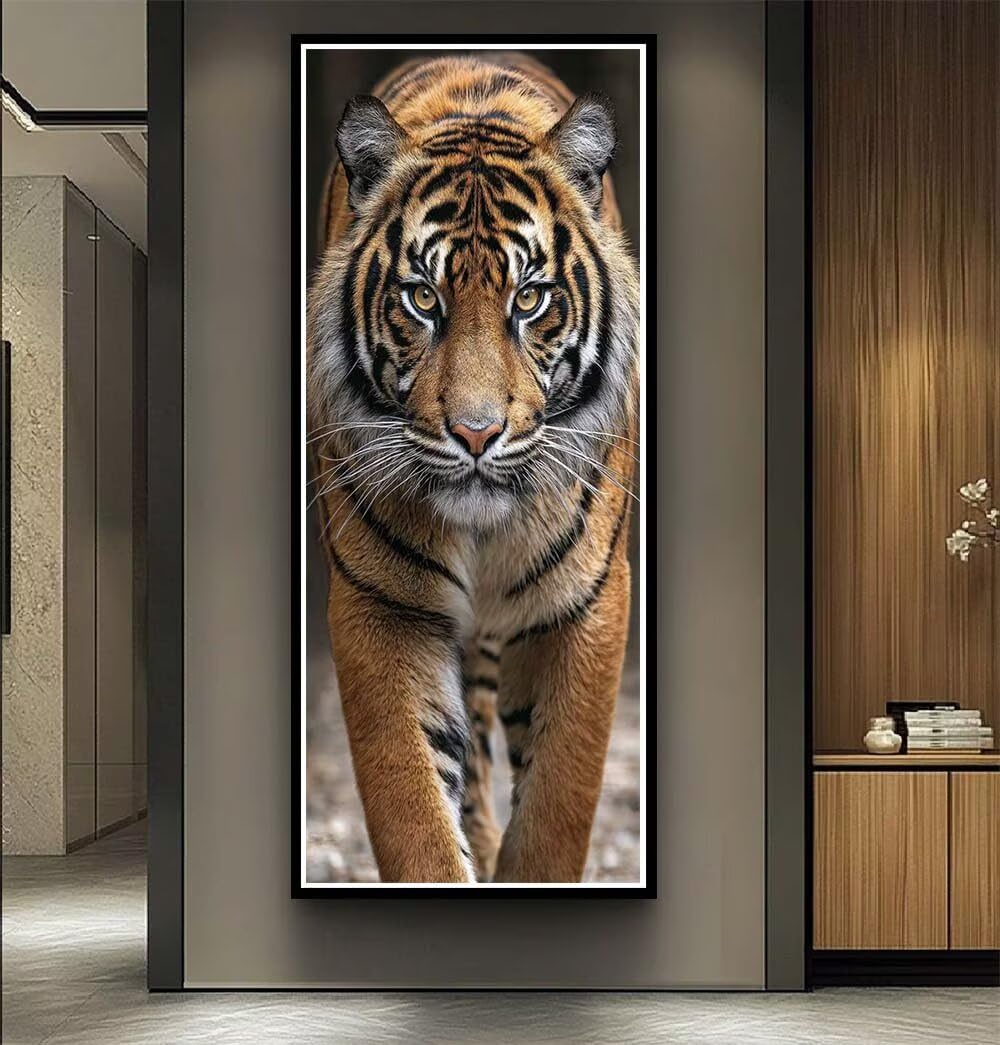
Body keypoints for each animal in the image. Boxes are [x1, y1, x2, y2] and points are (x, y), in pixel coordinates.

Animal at [307, 52, 640, 883]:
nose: (477, 432)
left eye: (531, 298)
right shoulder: (381, 603)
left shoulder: (583, 602)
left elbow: (556, 806)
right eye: (422, 298)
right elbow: (414, 812)